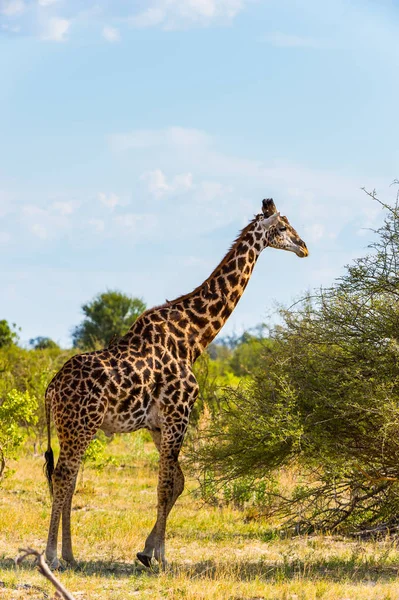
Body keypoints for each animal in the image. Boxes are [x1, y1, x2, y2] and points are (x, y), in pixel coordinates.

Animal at [45, 199, 310, 568]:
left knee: (69, 479)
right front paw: (160, 558)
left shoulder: (159, 424)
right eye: (283, 227)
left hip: (76, 428)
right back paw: (52, 556)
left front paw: (146, 551)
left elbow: (178, 482)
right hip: (78, 425)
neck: (193, 338)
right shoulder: (178, 415)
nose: (304, 247)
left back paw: (69, 555)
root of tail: (52, 387)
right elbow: (166, 484)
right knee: (63, 476)